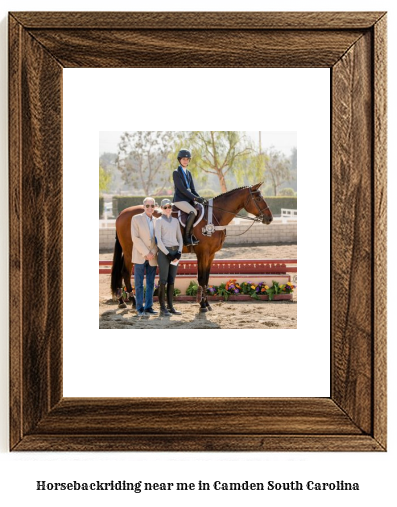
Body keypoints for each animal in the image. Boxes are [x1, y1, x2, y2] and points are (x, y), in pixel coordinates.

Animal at [110, 182, 272, 310]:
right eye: (258, 198)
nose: (269, 218)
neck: (214, 217)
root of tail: (122, 214)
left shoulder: (211, 255)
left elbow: (206, 278)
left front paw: (207, 304)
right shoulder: (203, 253)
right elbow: (201, 278)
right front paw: (202, 305)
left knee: (122, 272)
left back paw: (123, 302)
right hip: (130, 250)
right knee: (125, 272)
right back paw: (132, 301)